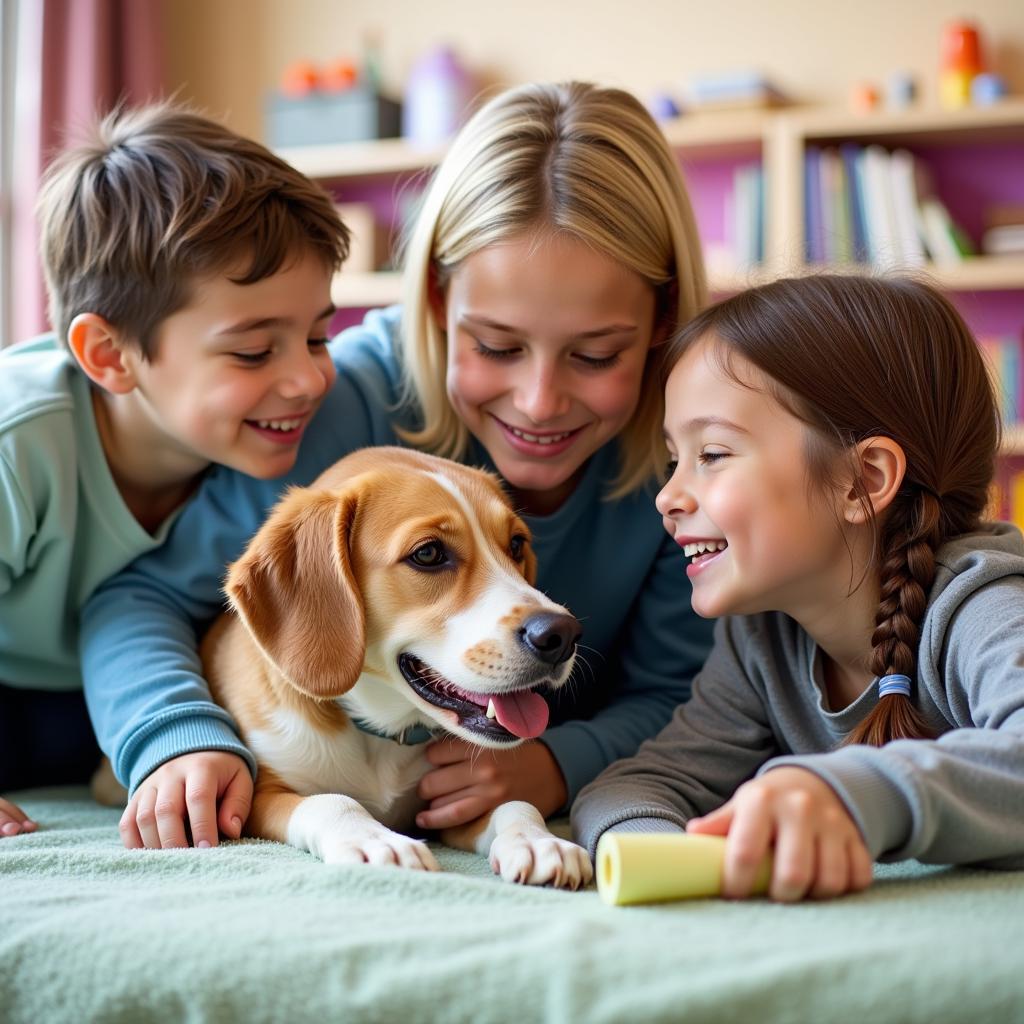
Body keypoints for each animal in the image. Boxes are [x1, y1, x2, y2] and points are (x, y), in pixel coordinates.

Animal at [201, 446, 593, 888]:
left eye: (515, 544)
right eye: (428, 554)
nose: (562, 635)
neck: (380, 735)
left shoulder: (446, 812)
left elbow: (516, 804)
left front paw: (539, 841)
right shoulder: (255, 799)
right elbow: (330, 801)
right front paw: (376, 841)